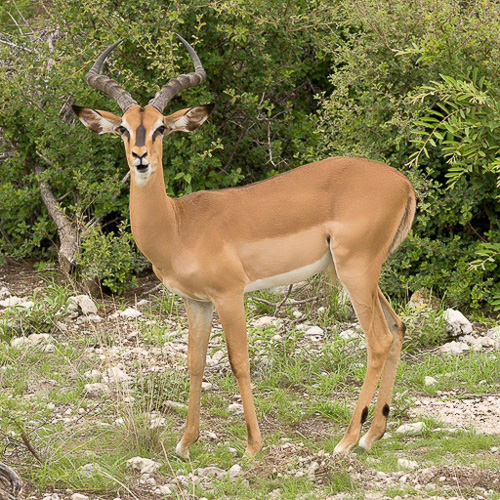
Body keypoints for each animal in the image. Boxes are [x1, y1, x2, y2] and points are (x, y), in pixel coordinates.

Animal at [73, 34, 418, 458]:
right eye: (123, 128)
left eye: (161, 128)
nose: (140, 160)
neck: (178, 224)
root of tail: (403, 184)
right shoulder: (197, 302)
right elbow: (195, 362)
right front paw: (185, 442)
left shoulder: (229, 294)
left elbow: (239, 361)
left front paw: (253, 444)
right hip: (360, 274)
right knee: (398, 327)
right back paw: (373, 434)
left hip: (355, 271)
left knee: (379, 340)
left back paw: (347, 440)